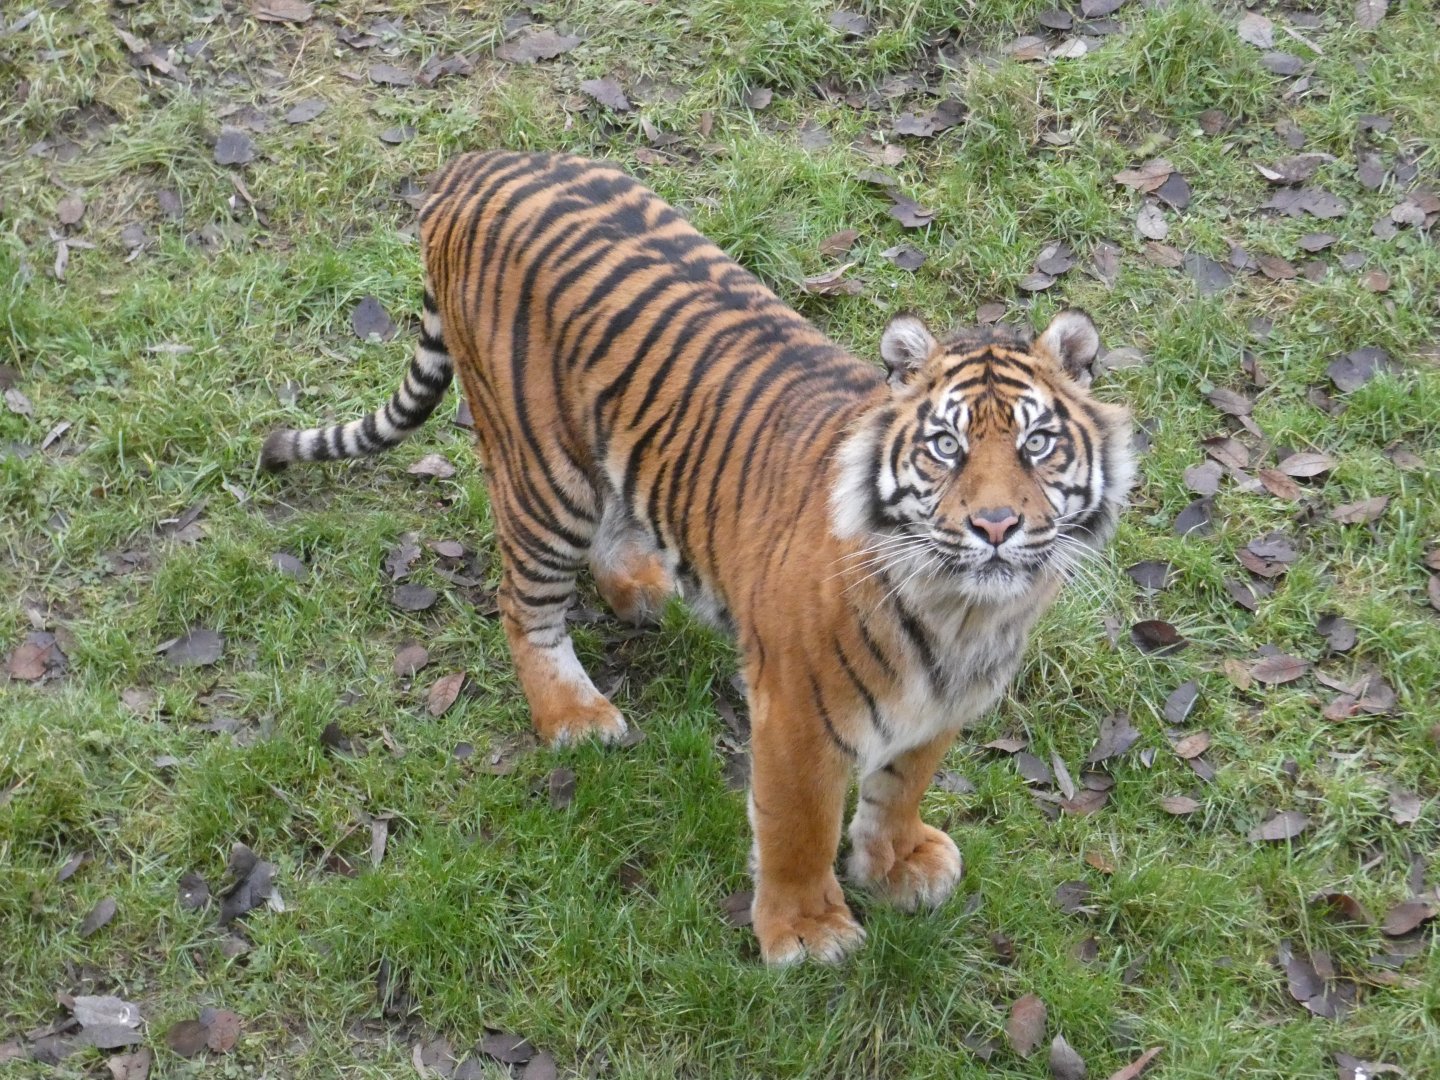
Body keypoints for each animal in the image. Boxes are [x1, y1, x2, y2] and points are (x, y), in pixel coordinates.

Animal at [261, 150, 1134, 964]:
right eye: (946, 447)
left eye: (1038, 443)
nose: (996, 526)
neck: (963, 612)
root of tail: (481, 161)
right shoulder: (796, 716)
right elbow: (798, 825)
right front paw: (807, 932)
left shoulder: (939, 708)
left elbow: (900, 787)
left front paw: (895, 866)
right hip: (543, 471)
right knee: (523, 602)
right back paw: (574, 716)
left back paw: (642, 585)